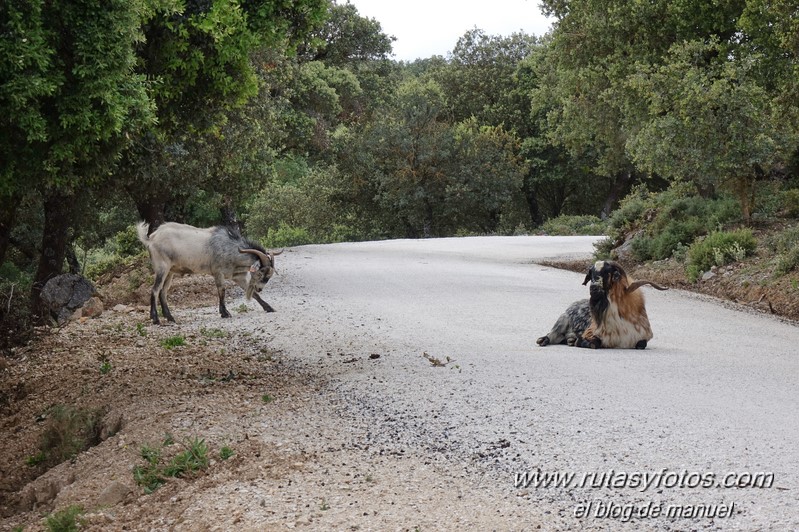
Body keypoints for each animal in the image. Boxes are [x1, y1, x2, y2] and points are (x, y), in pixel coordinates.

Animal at [139, 221, 282, 324]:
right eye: (261, 272)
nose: (260, 288)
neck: (229, 247)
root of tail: (151, 238)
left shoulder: (237, 276)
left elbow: (252, 293)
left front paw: (269, 308)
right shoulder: (218, 272)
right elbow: (222, 290)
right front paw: (225, 313)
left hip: (170, 271)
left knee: (163, 292)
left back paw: (170, 317)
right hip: (162, 268)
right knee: (155, 290)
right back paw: (155, 319)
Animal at [536, 260, 668, 350]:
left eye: (607, 271)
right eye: (591, 273)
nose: (594, 288)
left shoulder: (642, 337)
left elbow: (641, 344)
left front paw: (574, 341)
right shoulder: (591, 333)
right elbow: (595, 343)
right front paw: (577, 341)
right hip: (562, 320)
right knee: (552, 335)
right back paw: (543, 340)